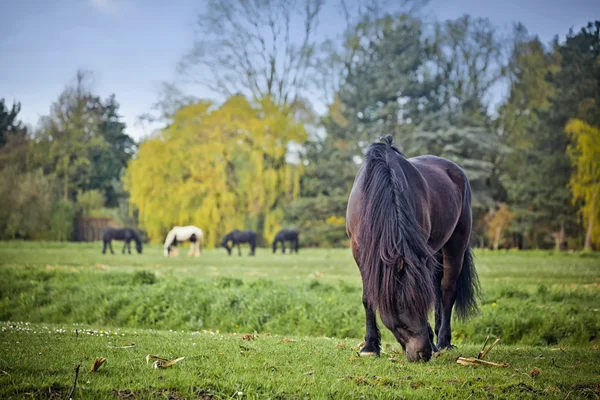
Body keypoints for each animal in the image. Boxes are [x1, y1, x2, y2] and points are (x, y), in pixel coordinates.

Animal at [344, 136, 480, 364]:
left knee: (446, 291)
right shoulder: (359, 250)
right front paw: (370, 346)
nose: (422, 353)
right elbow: (368, 297)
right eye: (401, 307)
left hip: (455, 244)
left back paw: (443, 341)